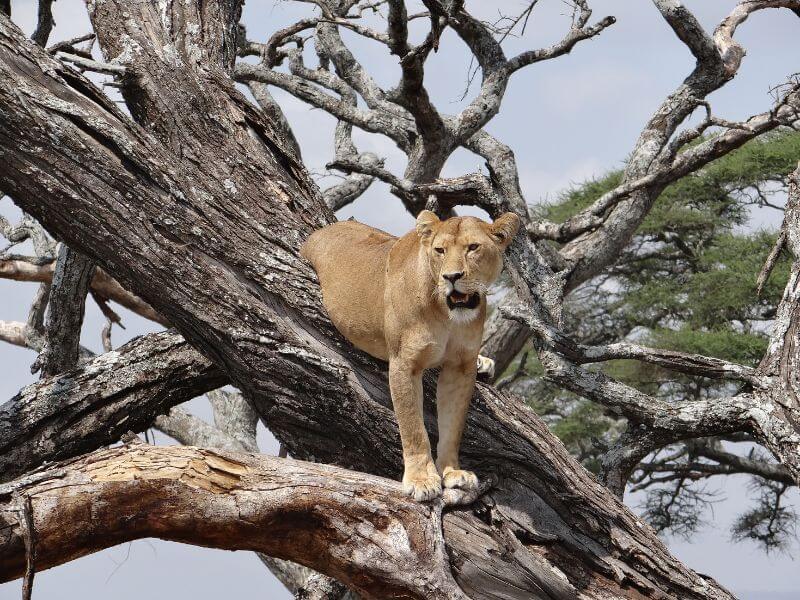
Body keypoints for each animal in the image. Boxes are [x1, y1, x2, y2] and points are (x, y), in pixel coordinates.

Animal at [301, 210, 520, 500]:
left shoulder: (460, 367)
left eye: (473, 247)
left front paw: (452, 472)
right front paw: (421, 480)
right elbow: (413, 426)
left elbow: (453, 425)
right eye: (440, 250)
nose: (451, 276)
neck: (447, 315)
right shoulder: (404, 363)